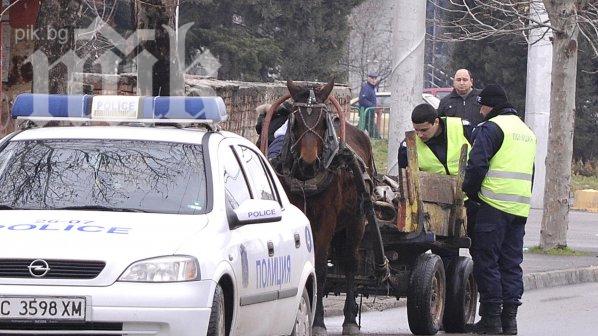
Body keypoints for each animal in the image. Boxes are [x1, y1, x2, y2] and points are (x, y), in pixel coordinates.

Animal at [270, 80, 378, 334]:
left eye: (321, 121)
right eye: (296, 121)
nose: (309, 162)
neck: (306, 179)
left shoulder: (326, 220)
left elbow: (320, 268)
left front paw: (318, 322)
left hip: (356, 219)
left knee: (350, 262)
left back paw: (350, 319)